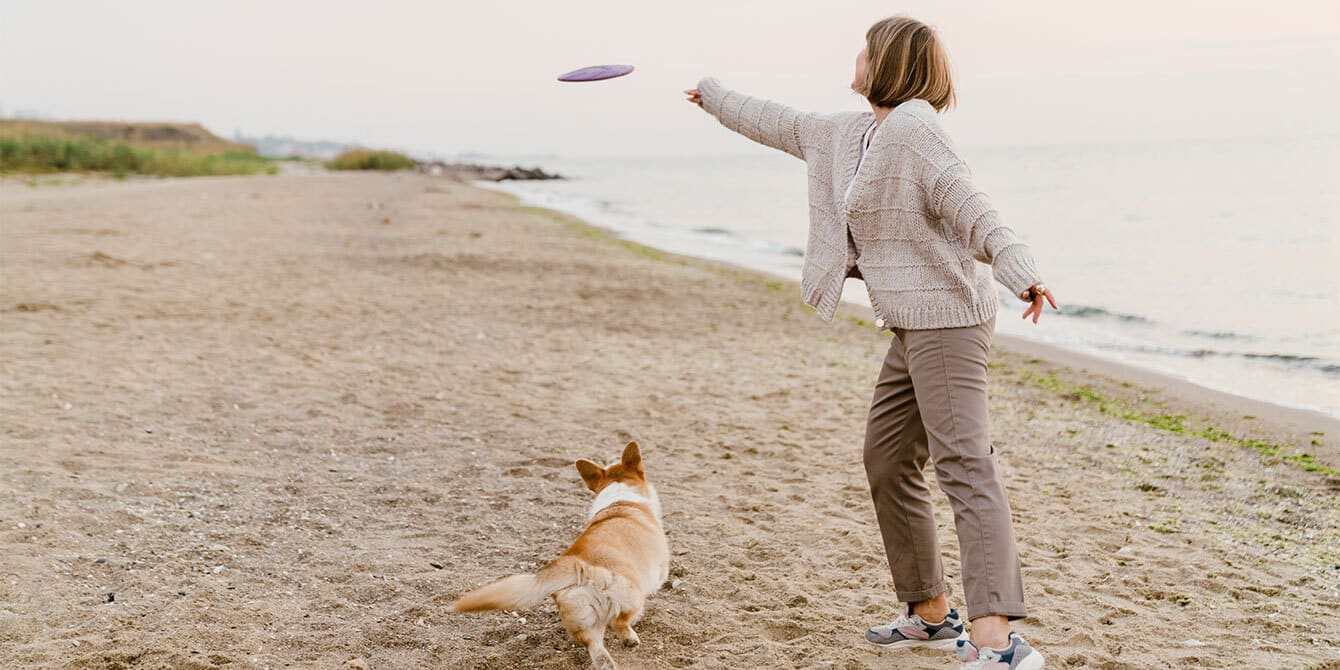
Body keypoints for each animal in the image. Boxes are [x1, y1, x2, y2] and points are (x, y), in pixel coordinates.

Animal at [450, 442, 670, 667]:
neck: (621, 497)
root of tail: (575, 564)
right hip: (631, 596)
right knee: (620, 622)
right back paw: (631, 639)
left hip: (585, 621)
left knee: (598, 652)